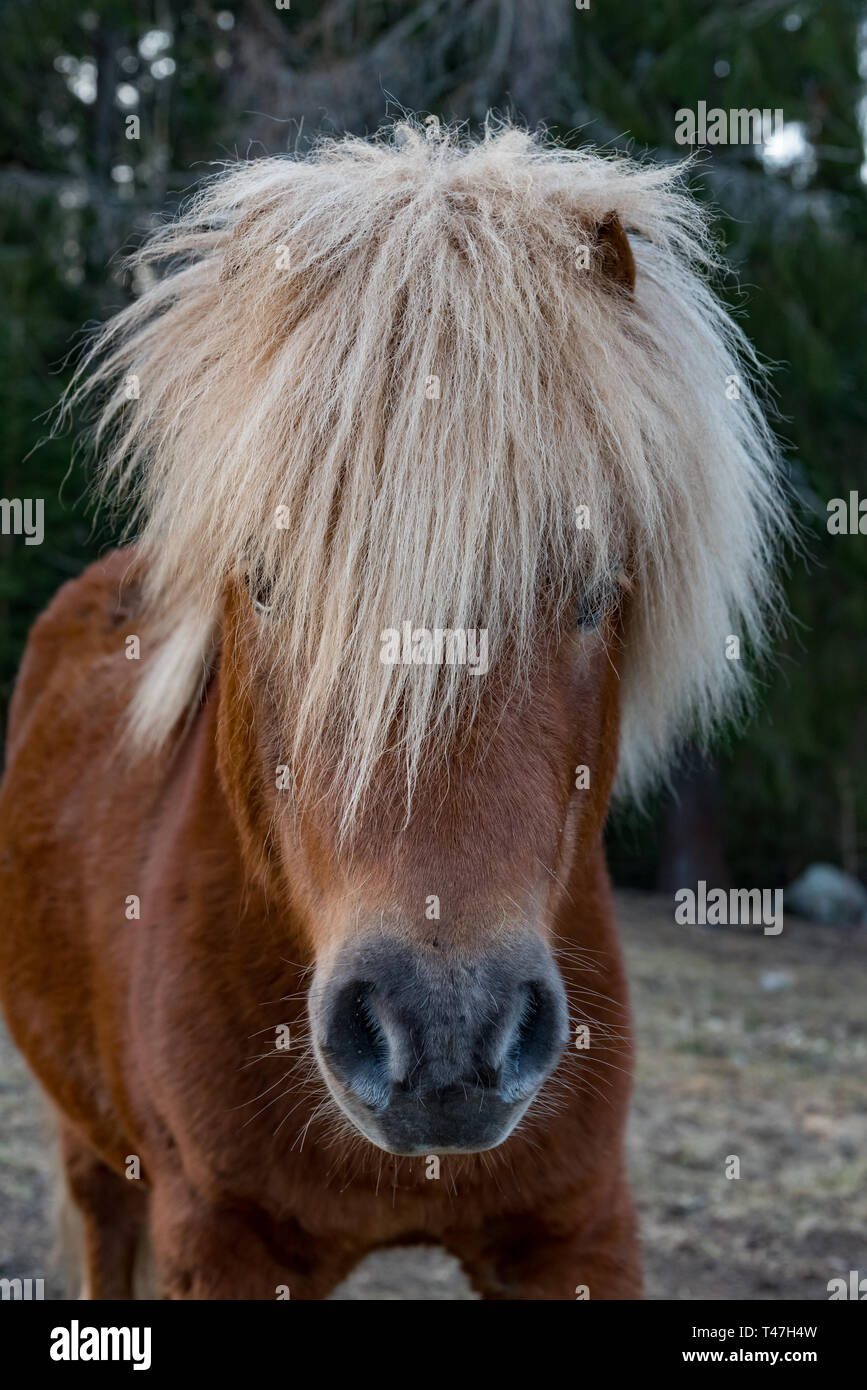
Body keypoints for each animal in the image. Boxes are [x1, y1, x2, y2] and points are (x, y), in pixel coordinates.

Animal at [0, 125, 783, 1295]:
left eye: (595, 592)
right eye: (264, 579)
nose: (444, 1035)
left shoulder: (580, 1225)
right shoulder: (218, 1237)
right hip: (98, 1157)